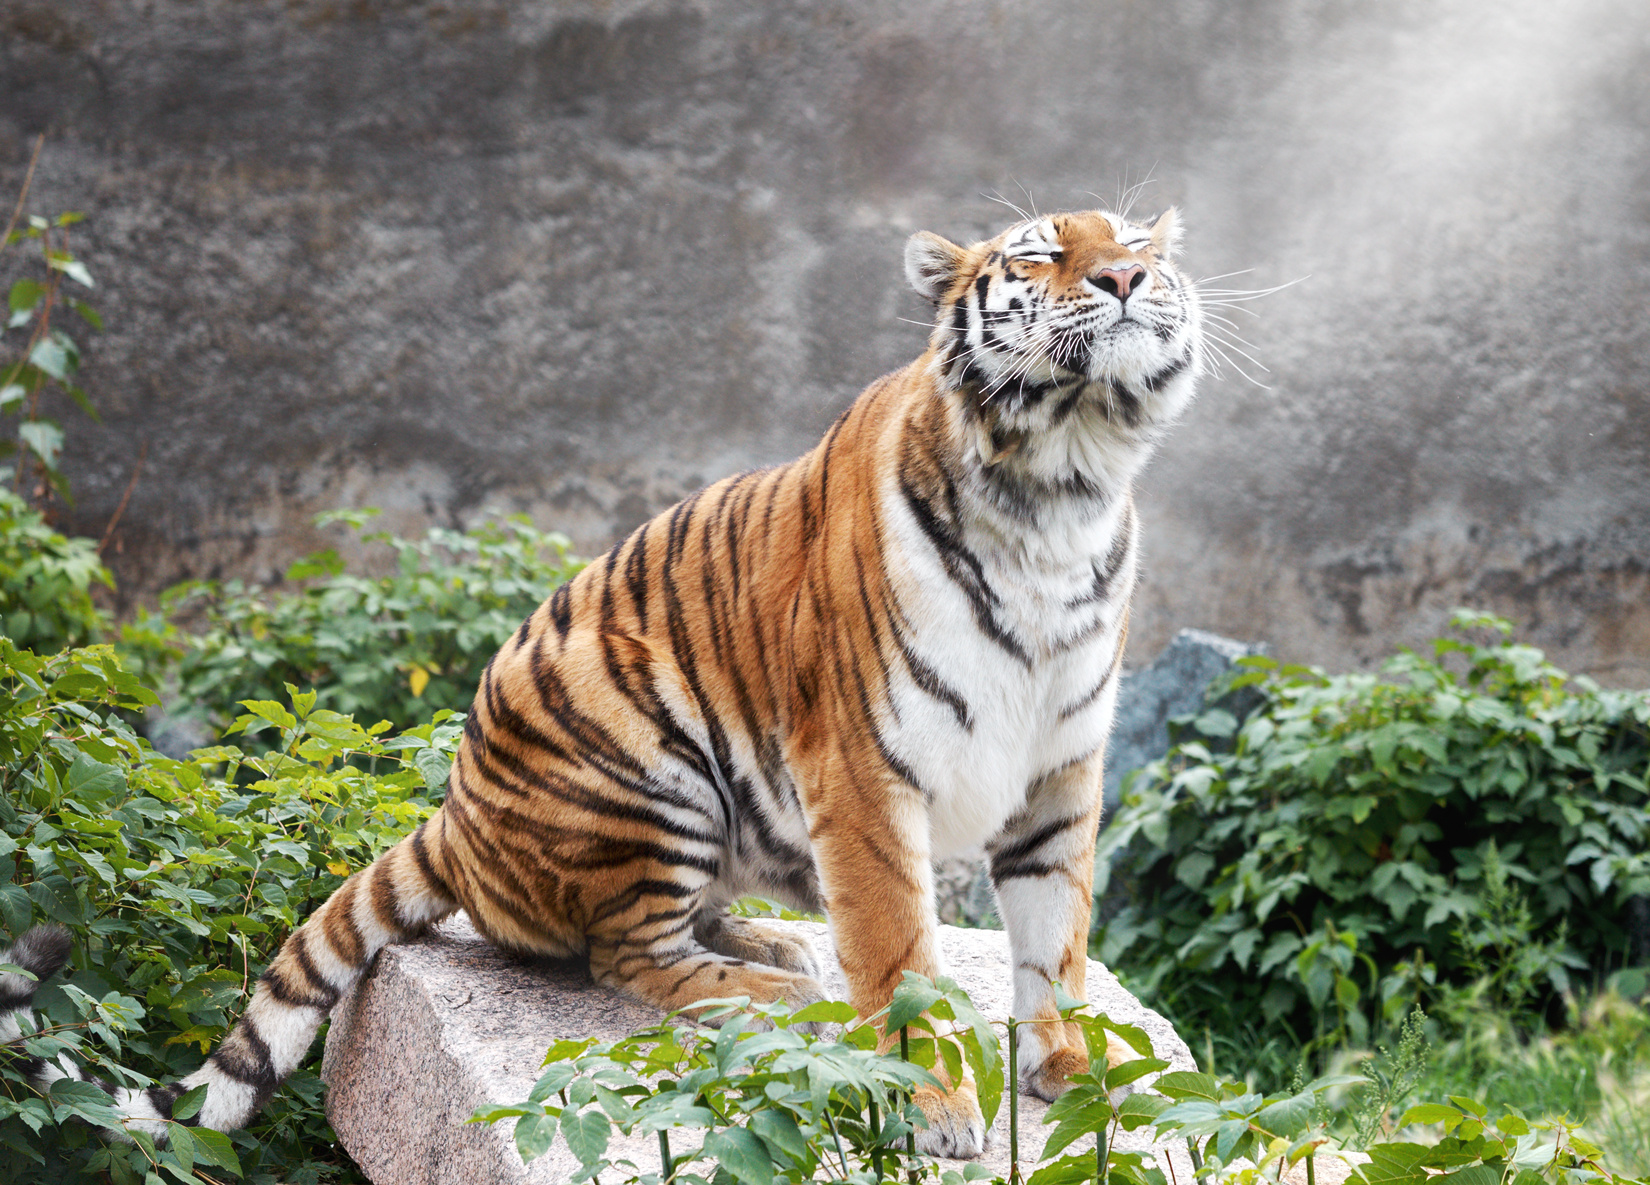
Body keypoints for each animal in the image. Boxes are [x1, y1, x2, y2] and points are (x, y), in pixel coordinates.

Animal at [6, 204, 1207, 1161]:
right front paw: (934, 1103)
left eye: (1138, 242)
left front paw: (1076, 1071)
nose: (1126, 277)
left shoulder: (1061, 771)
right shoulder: (864, 772)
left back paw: (773, 943)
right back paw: (774, 987)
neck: (1062, 489)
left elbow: (1057, 939)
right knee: (628, 957)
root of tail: (452, 817)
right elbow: (897, 951)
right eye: (1043, 252)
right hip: (646, 756)